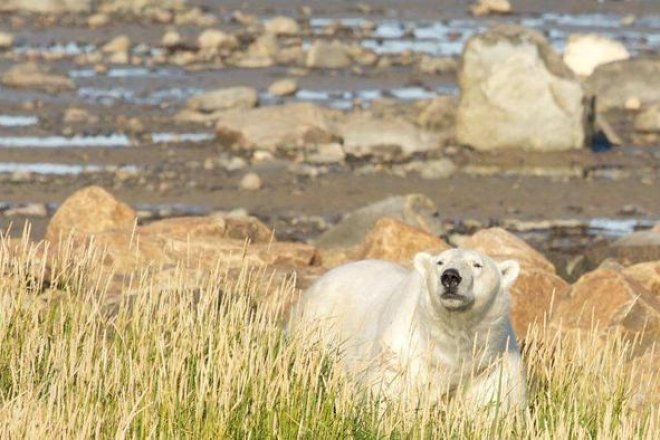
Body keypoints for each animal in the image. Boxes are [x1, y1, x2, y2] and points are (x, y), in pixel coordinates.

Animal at [288, 249, 524, 410]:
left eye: (477, 264)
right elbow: (390, 394)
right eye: (440, 262)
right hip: (316, 328)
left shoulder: (490, 364)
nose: (450, 276)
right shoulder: (402, 354)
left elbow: (492, 403)